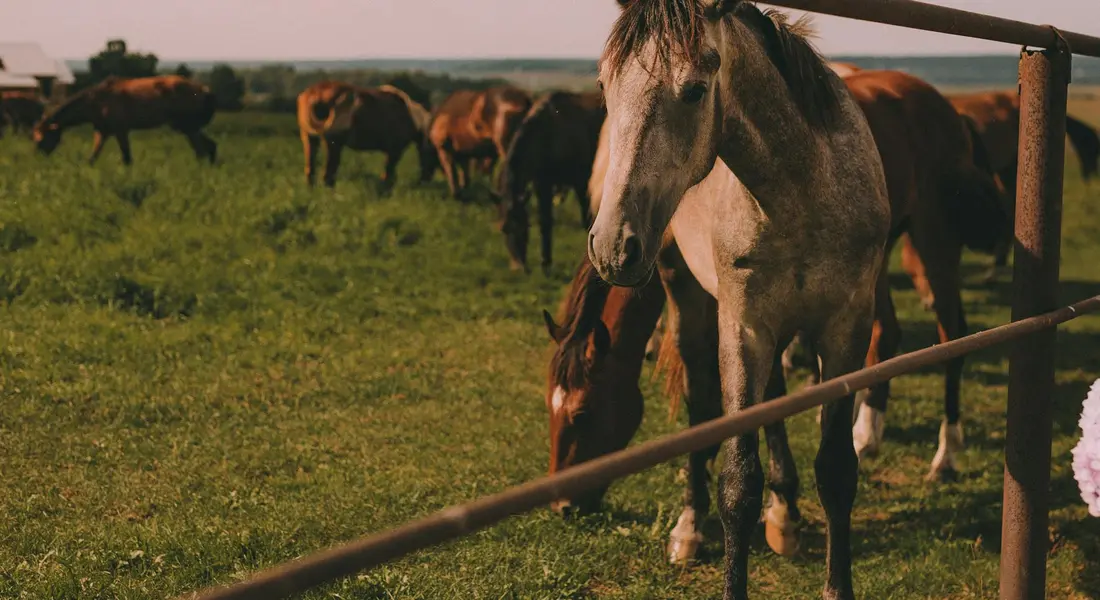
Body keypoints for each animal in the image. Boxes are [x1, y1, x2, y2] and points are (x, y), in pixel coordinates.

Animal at [32, 75, 217, 166]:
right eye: (35, 137)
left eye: (44, 138)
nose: (38, 157)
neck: (95, 103)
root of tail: (204, 90)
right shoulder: (102, 132)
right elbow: (91, 159)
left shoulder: (120, 130)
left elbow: (127, 159)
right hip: (188, 127)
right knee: (210, 147)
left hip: (188, 127)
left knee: (202, 151)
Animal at [297, 81, 435, 190]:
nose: (424, 182)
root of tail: (316, 94)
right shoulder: (395, 151)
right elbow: (388, 174)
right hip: (333, 145)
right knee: (328, 175)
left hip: (309, 139)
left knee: (310, 170)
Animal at [498, 90, 606, 272]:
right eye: (504, 229)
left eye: (524, 228)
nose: (519, 267)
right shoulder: (542, 185)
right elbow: (545, 221)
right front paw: (546, 262)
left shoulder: (580, 181)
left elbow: (587, 219)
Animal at [589, 2, 892, 598]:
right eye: (605, 84)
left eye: (694, 90)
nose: (613, 246)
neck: (803, 195)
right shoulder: (744, 328)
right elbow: (738, 483)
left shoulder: (846, 328)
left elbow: (837, 470)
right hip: (688, 296)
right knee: (699, 401)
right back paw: (690, 525)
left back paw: (785, 515)